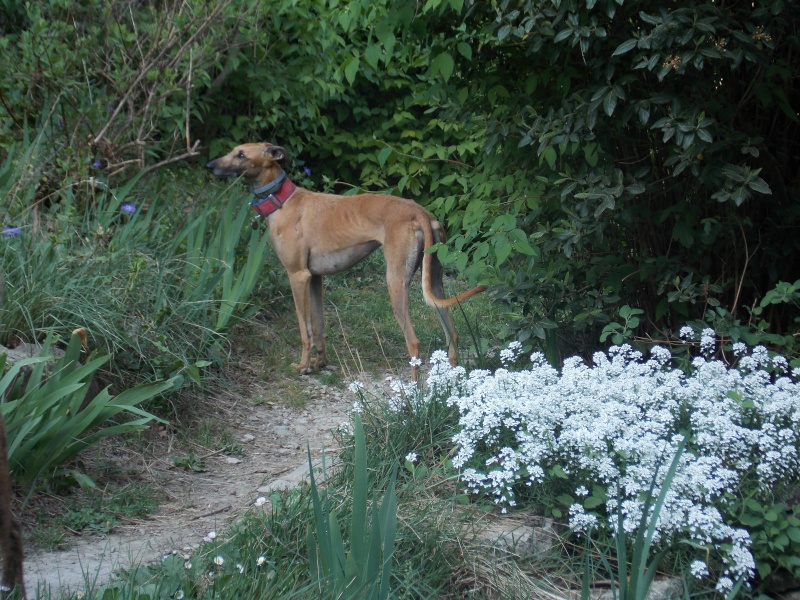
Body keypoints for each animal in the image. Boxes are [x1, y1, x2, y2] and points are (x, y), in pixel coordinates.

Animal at [206, 143, 484, 378]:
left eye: (241, 155)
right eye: (233, 150)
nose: (209, 165)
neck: (283, 201)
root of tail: (420, 212)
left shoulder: (297, 276)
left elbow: (305, 330)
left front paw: (303, 366)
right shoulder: (315, 278)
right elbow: (318, 327)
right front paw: (320, 363)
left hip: (396, 282)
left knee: (413, 343)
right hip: (435, 282)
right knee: (453, 336)